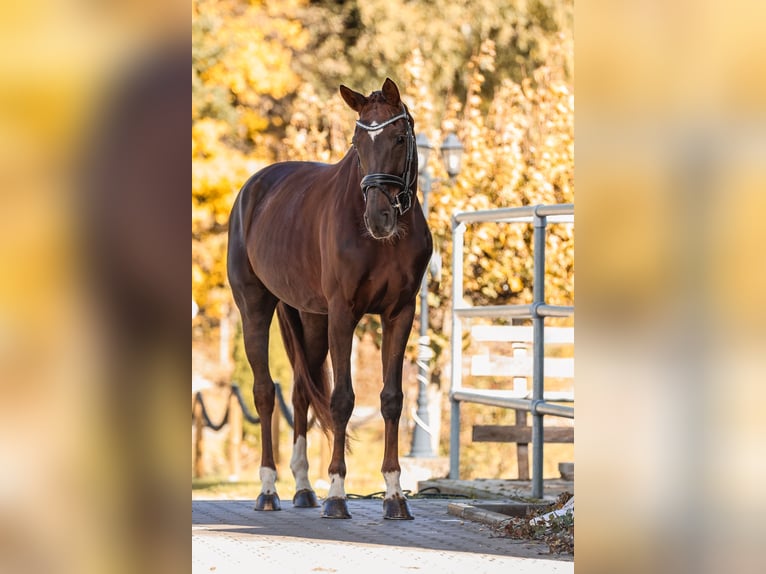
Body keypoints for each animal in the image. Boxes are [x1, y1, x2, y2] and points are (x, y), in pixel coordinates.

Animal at [227, 78, 432, 519]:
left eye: (399, 137)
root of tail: (254, 188)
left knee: (300, 393)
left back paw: (304, 488)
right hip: (255, 308)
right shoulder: (343, 314)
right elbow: (342, 400)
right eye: (357, 142)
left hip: (310, 318)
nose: (378, 218)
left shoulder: (400, 314)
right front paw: (338, 494)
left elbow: (392, 399)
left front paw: (395, 495)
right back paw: (268, 489)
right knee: (265, 393)